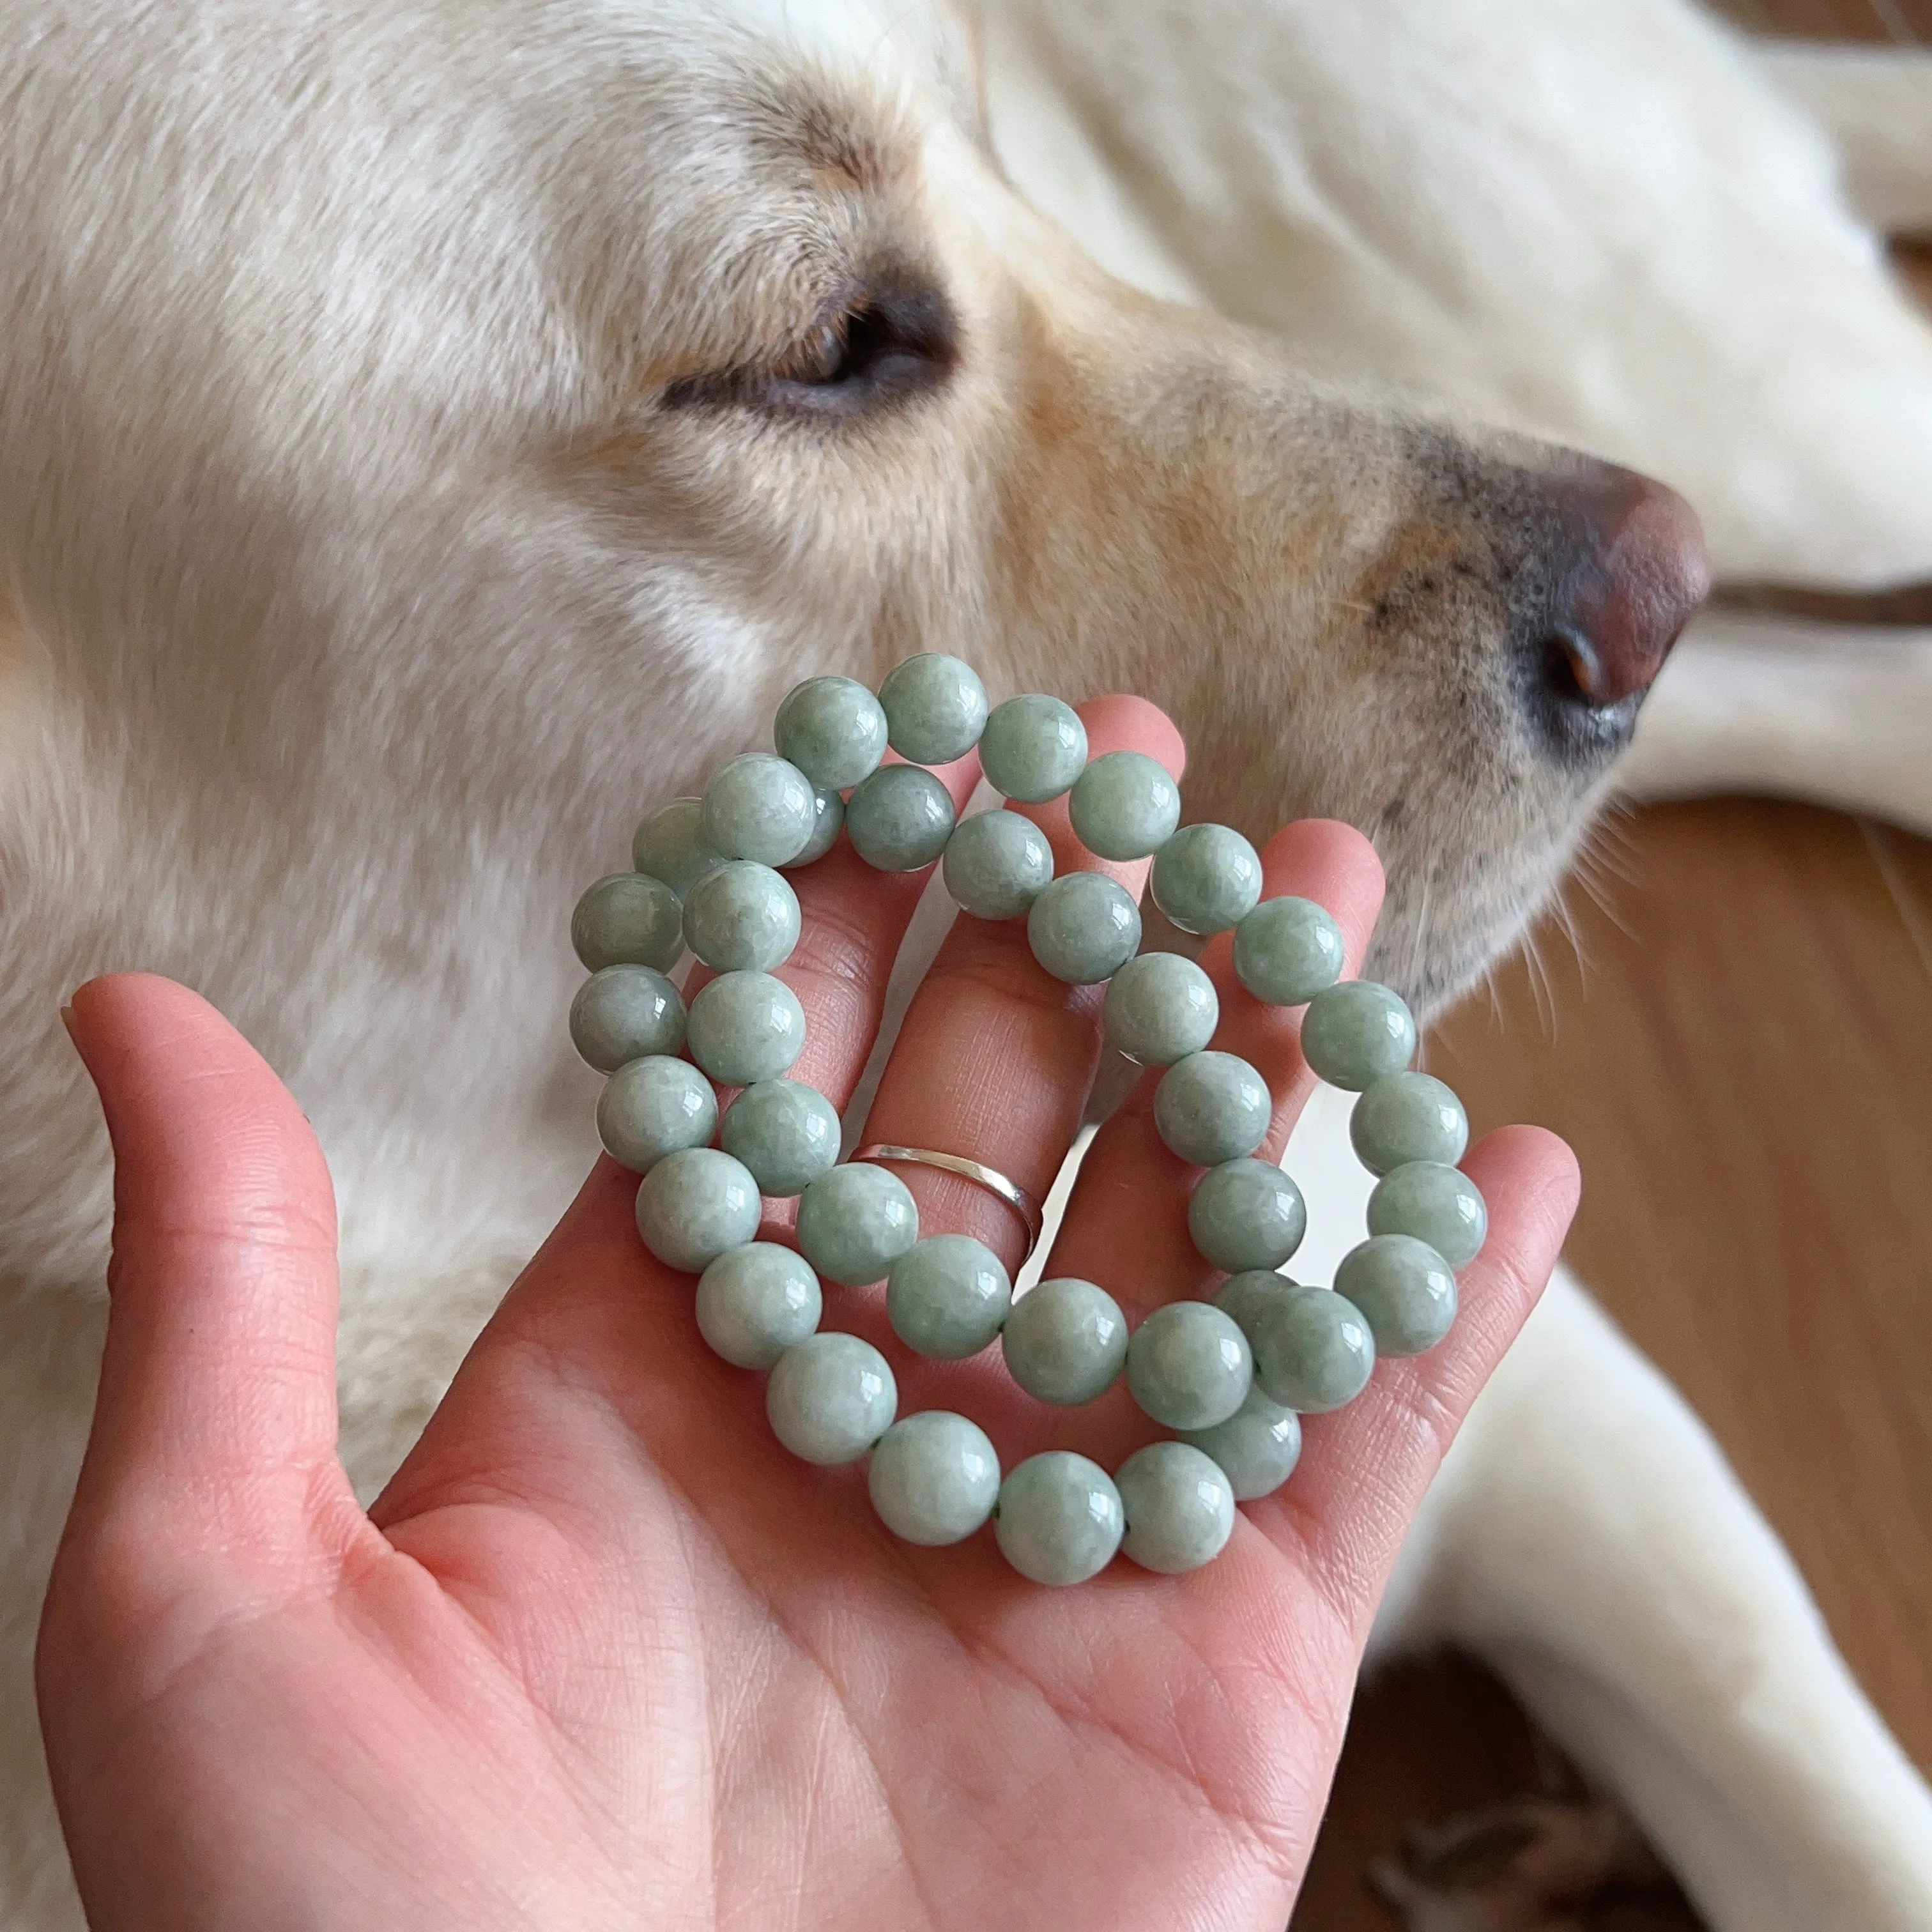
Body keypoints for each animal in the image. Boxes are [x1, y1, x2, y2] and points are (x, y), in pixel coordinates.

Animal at [3, 3, 1932, 1932]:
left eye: (992, 143)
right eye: (828, 345)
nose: (1639, 593)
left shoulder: (1580, 1440)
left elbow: (1848, 1827)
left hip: (1726, 383)